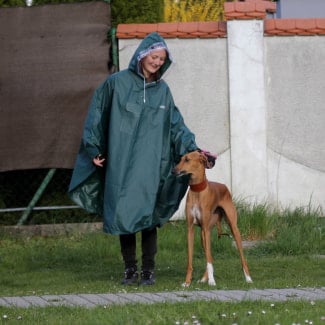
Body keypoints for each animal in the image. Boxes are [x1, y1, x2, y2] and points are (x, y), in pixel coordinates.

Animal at [172, 151, 251, 284]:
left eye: (187, 159)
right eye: (180, 159)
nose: (173, 171)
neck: (197, 191)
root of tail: (224, 186)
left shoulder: (205, 229)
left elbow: (208, 259)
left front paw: (212, 281)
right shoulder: (191, 229)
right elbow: (191, 259)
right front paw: (187, 282)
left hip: (232, 228)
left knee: (241, 256)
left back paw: (248, 278)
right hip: (203, 234)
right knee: (210, 256)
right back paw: (204, 278)